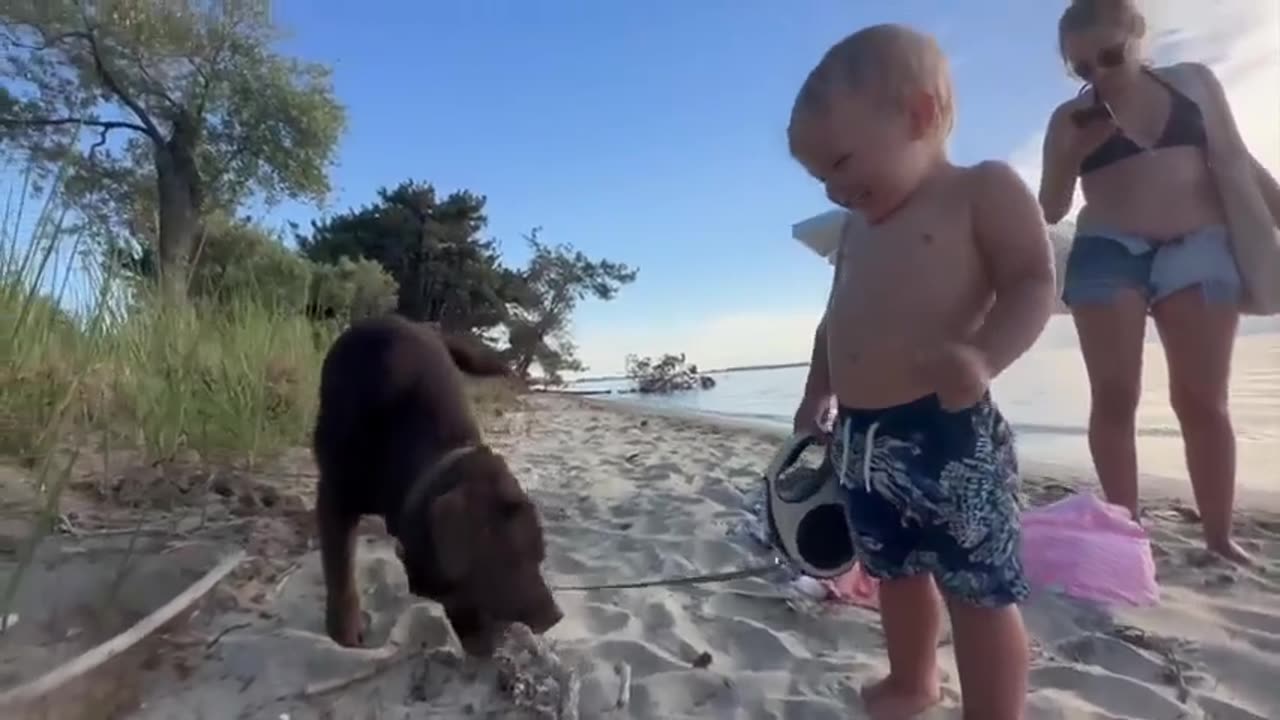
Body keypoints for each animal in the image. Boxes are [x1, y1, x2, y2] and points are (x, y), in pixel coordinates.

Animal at [309, 311, 560, 653]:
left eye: (541, 556)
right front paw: (343, 630)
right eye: (512, 559)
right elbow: (339, 568)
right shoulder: (335, 494)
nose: (556, 616)